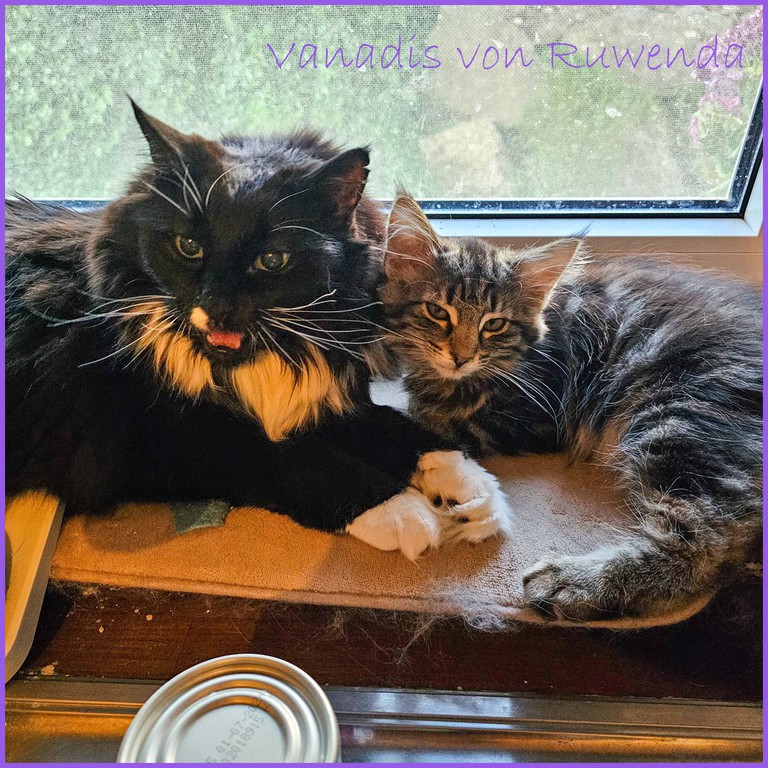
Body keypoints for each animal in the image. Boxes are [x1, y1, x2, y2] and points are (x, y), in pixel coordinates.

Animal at [5, 103, 511, 561]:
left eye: (272, 259)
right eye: (189, 246)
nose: (216, 308)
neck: (262, 361)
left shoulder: (327, 397)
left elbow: (401, 430)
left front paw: (472, 493)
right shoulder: (168, 438)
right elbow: (297, 461)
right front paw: (405, 512)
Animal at [379, 193, 762, 619]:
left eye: (494, 324)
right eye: (437, 312)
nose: (460, 358)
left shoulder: (532, 418)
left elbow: (425, 419)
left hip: (680, 409)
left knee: (713, 537)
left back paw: (575, 583)